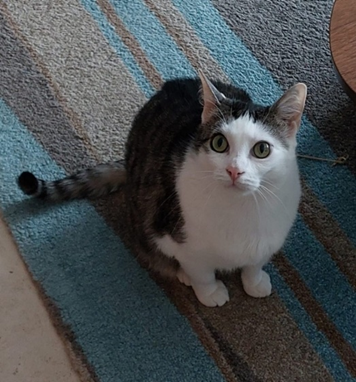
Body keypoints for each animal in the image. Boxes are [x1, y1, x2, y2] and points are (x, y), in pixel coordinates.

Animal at [18, 69, 306, 308]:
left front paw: (254, 282)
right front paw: (210, 292)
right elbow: (201, 272)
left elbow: (254, 264)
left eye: (262, 149)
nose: (234, 171)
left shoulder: (269, 239)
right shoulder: (181, 242)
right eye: (219, 143)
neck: (241, 210)